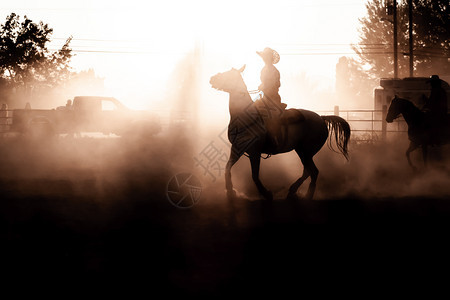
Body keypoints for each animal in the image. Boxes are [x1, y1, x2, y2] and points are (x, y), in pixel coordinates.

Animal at [209, 67, 350, 200]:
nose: (212, 78)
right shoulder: (237, 148)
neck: (244, 117)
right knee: (308, 171)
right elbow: (227, 168)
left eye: (228, 75)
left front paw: (266, 194)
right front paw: (230, 191)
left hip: (307, 151)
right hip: (301, 150)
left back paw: (306, 195)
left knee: (313, 171)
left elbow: (254, 176)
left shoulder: (255, 152)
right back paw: (293, 191)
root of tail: (321, 118)